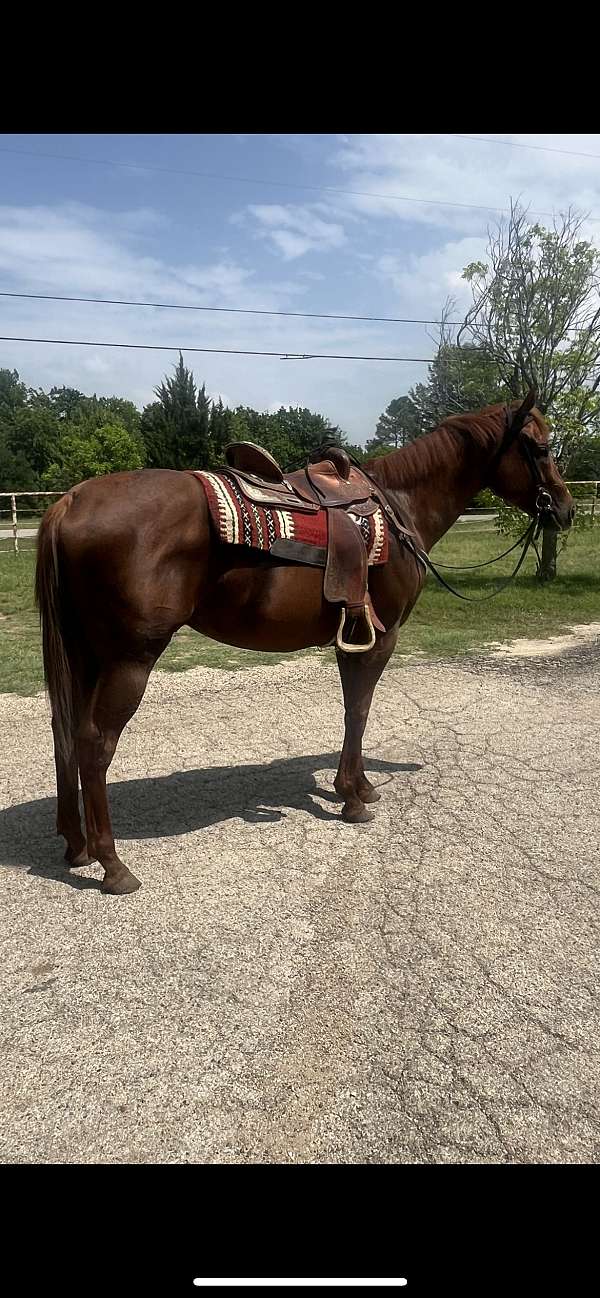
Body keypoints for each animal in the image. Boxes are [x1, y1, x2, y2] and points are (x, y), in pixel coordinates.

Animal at [35, 391, 574, 894]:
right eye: (541, 447)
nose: (565, 510)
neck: (400, 504)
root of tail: (69, 502)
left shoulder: (352, 636)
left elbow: (352, 708)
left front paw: (359, 786)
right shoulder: (382, 637)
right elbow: (360, 708)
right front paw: (353, 797)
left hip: (85, 656)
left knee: (65, 732)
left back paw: (75, 844)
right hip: (129, 659)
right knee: (95, 744)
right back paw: (112, 864)